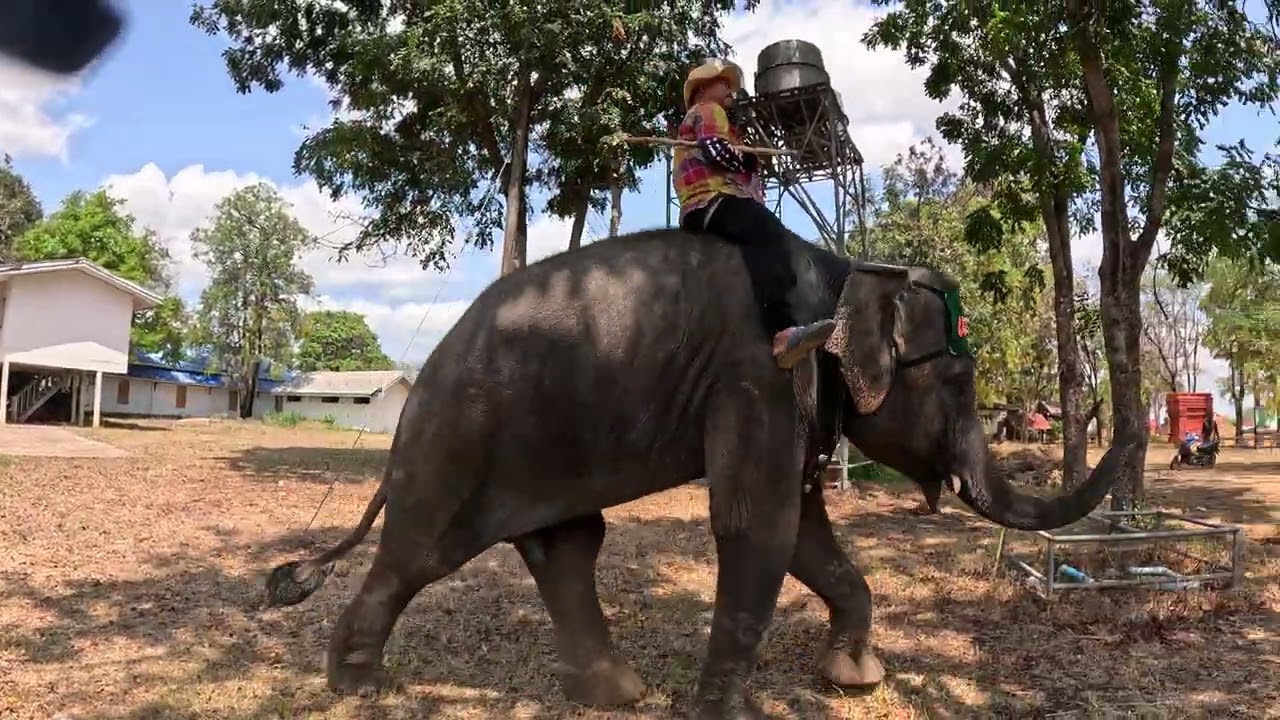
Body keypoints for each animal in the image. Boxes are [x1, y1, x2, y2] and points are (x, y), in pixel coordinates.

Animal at [265, 228, 1134, 719]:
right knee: (421, 554)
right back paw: (358, 689)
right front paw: (731, 715)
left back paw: (616, 696)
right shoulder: (759, 372)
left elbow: (803, 533)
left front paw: (853, 680)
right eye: (957, 382)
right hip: (459, 441)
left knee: (566, 543)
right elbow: (761, 526)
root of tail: (420, 383)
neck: (842, 271)